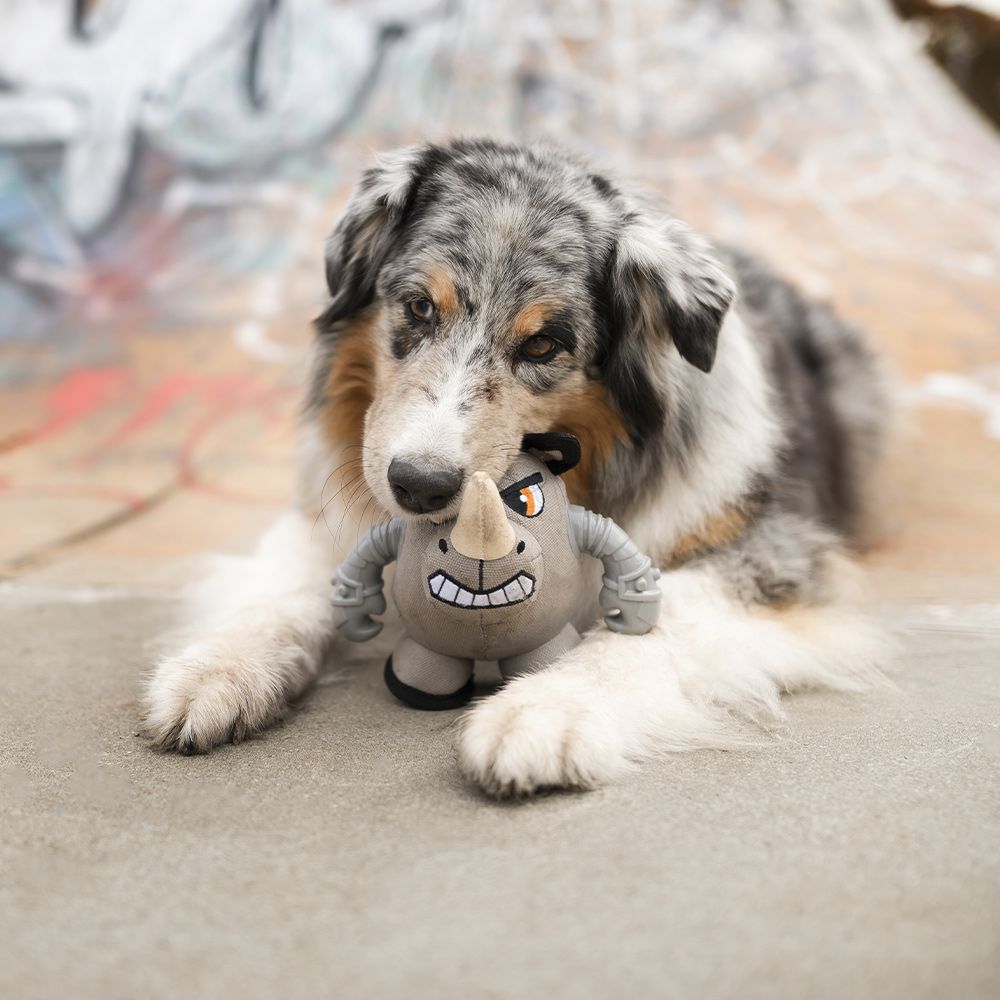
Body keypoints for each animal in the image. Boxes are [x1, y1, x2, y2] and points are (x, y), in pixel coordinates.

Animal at [143, 139, 892, 796]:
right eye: (420, 307)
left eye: (542, 345)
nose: (417, 486)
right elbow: (288, 590)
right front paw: (216, 669)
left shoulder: (779, 555)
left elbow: (660, 619)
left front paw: (541, 712)